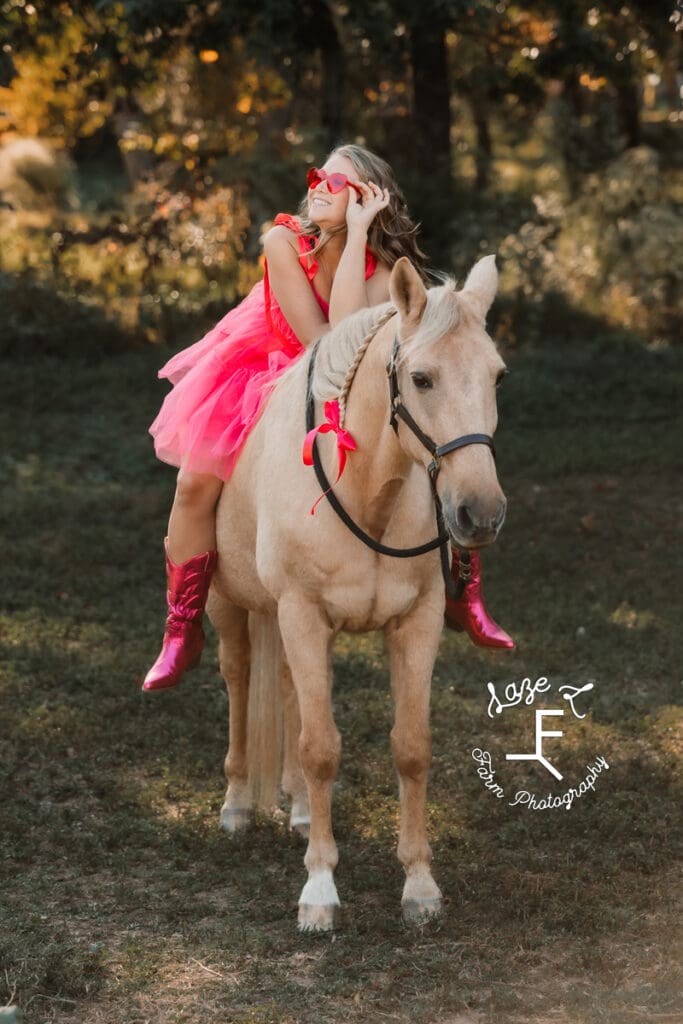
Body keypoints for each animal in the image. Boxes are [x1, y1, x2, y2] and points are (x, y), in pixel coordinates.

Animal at [206, 253, 507, 929]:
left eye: (497, 376)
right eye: (421, 378)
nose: (480, 513)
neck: (369, 490)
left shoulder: (415, 623)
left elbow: (412, 748)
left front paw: (420, 886)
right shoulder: (300, 613)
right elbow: (322, 749)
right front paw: (319, 891)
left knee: (290, 690)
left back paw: (297, 810)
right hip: (229, 605)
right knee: (238, 681)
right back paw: (237, 804)